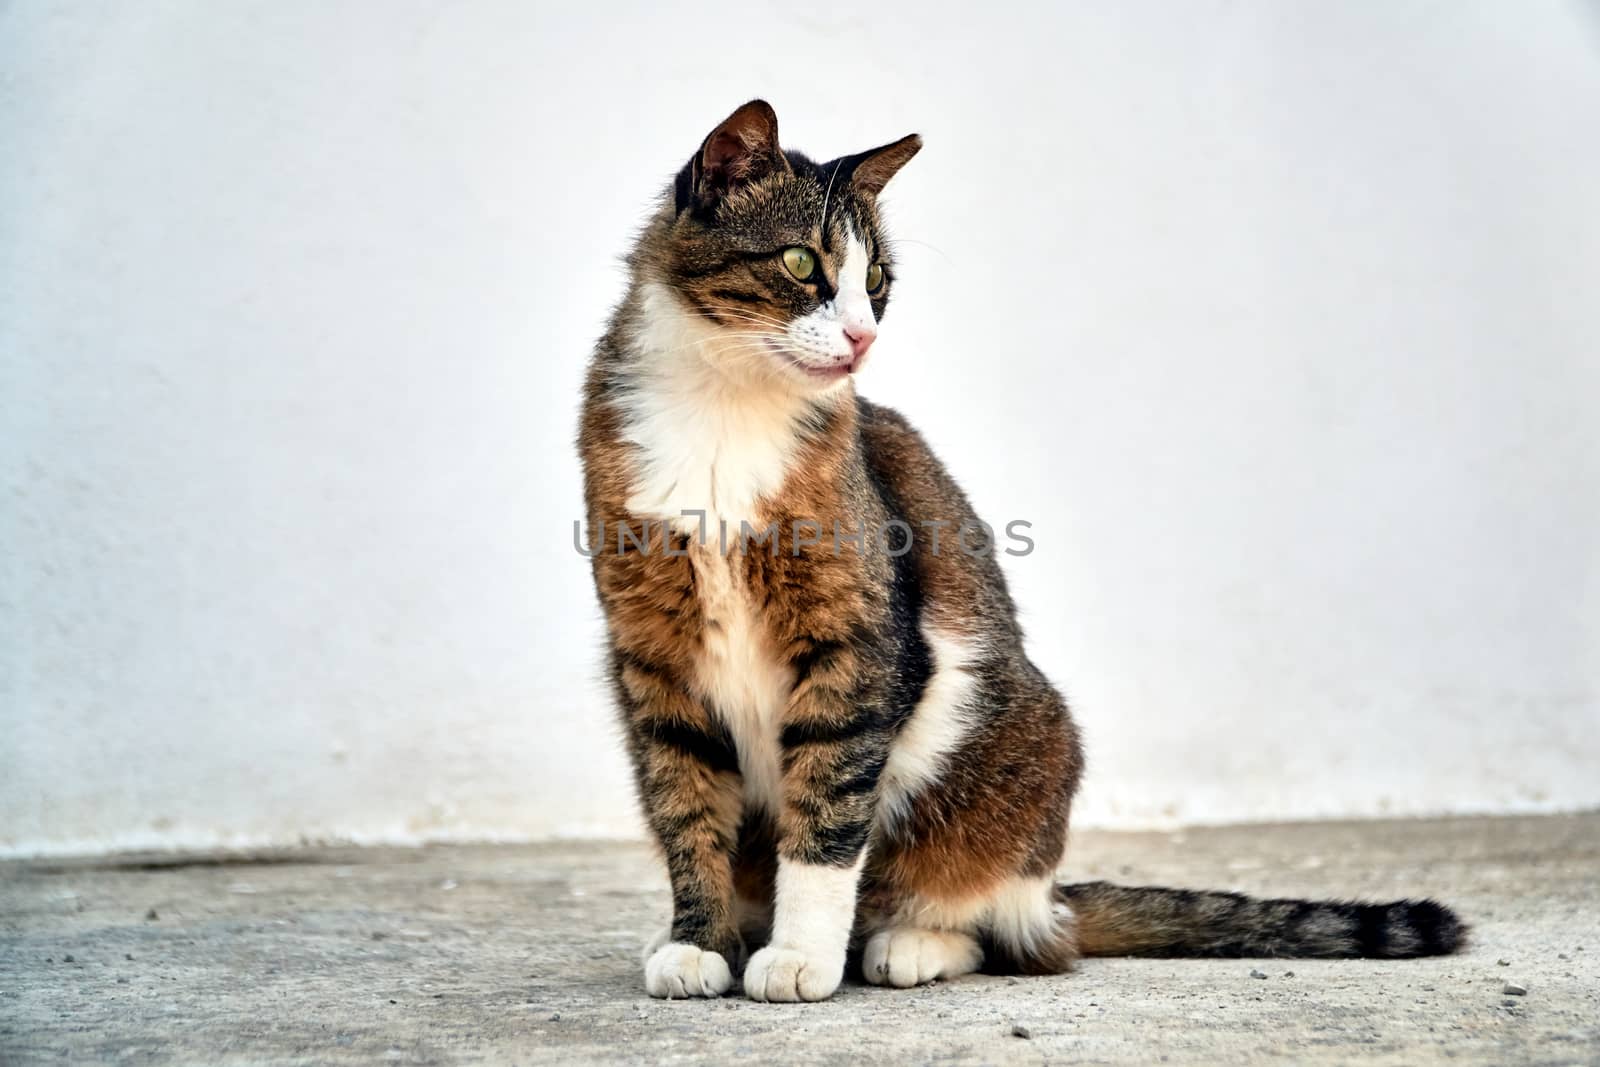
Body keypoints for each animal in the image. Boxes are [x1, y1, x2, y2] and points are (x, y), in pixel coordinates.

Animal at [576, 99, 1465, 1004]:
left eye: (877, 280)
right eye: (800, 262)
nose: (861, 338)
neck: (723, 415)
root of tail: (1053, 892)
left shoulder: (860, 649)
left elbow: (826, 811)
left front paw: (800, 957)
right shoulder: (654, 660)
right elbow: (686, 812)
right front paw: (698, 941)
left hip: (1019, 754)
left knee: (1011, 931)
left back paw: (908, 942)